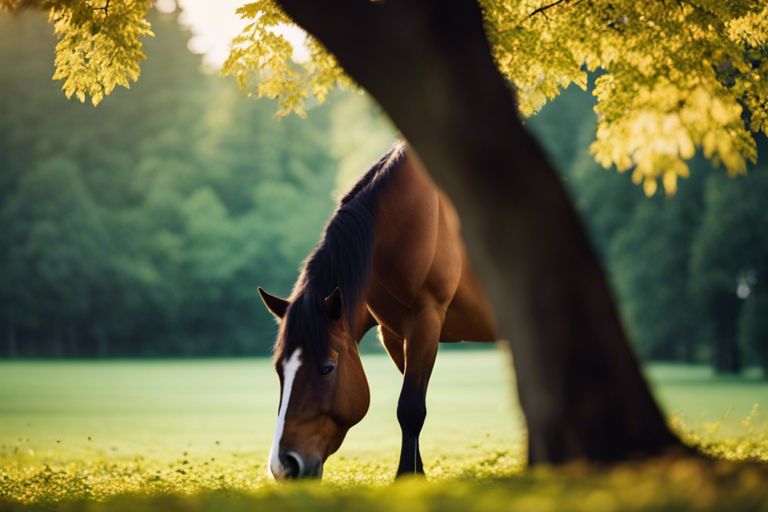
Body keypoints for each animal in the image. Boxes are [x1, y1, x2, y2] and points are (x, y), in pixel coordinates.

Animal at [259, 141, 497, 479]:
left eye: (327, 367)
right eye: (280, 369)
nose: (283, 466)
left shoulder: (426, 320)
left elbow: (410, 408)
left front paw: (405, 478)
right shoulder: (394, 335)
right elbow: (411, 404)